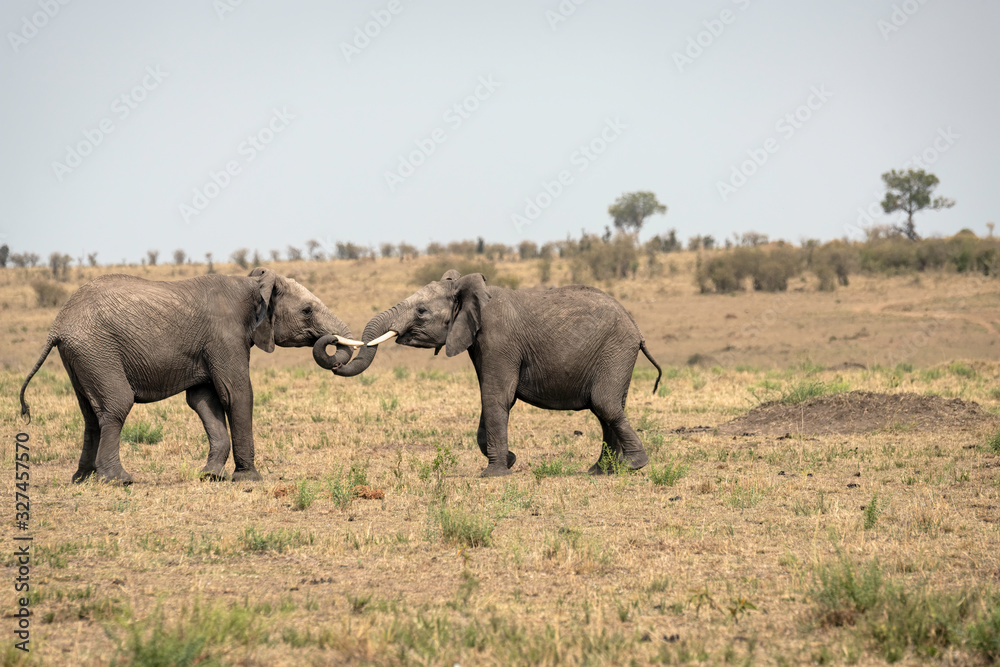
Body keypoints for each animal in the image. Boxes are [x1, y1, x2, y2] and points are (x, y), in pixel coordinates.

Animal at [19, 268, 362, 484]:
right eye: (307, 310)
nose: (330, 342)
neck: (252, 284)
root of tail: (58, 325)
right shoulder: (225, 336)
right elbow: (236, 393)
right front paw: (248, 479)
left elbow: (203, 400)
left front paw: (211, 476)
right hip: (98, 350)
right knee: (116, 405)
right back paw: (118, 480)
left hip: (82, 356)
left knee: (91, 413)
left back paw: (84, 479)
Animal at [314, 270, 662, 477]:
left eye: (422, 312)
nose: (332, 346)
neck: (469, 290)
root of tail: (637, 329)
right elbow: (493, 398)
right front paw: (509, 460)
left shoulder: (498, 339)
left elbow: (496, 397)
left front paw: (494, 474)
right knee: (606, 409)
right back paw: (602, 471)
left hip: (615, 351)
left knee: (605, 404)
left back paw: (633, 466)